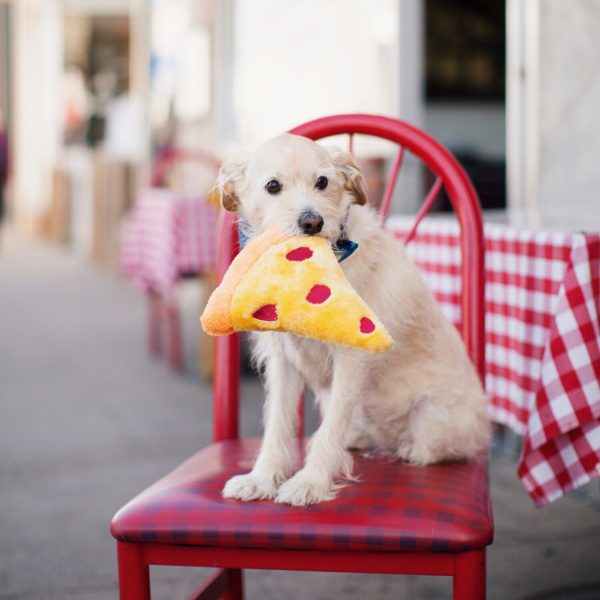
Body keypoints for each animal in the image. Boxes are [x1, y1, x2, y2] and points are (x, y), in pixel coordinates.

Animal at [213, 132, 490, 506]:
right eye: (272, 186)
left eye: (322, 182)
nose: (312, 222)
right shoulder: (283, 361)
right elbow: (277, 424)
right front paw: (261, 478)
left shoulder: (352, 357)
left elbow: (328, 429)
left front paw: (311, 482)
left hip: (434, 413)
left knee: (444, 448)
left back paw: (410, 448)